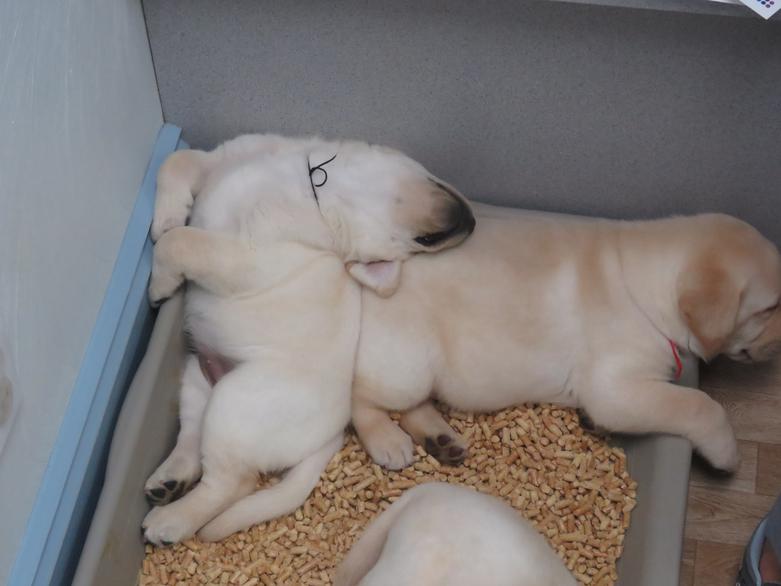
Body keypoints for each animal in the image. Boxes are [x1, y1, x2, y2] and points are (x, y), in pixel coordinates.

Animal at [139, 133, 476, 544]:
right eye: (424, 240)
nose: (470, 221)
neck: (314, 186)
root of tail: (329, 438)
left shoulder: (250, 259)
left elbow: (181, 242)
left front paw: (160, 282)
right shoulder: (222, 159)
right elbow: (177, 161)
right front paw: (167, 215)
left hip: (232, 408)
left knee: (232, 483)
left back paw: (170, 520)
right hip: (196, 377)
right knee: (190, 439)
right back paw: (169, 480)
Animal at [352, 205, 780, 470]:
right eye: (769, 308)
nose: (779, 344)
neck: (648, 291)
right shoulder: (615, 388)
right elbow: (700, 405)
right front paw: (727, 452)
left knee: (412, 405)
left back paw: (440, 439)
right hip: (407, 364)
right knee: (359, 397)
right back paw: (387, 441)